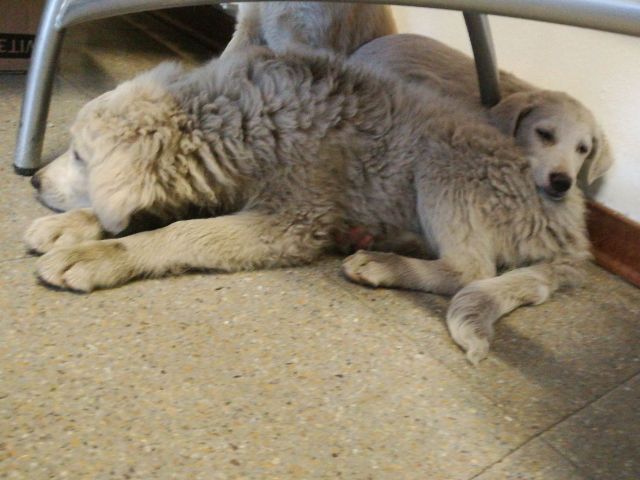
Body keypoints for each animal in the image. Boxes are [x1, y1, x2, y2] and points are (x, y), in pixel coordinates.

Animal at [25, 48, 612, 363]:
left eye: (79, 155)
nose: (32, 180)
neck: (241, 122)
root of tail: (573, 231)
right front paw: (71, 226)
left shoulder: (291, 221)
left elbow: (180, 232)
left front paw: (100, 256)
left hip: (441, 165)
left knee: (471, 269)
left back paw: (382, 263)